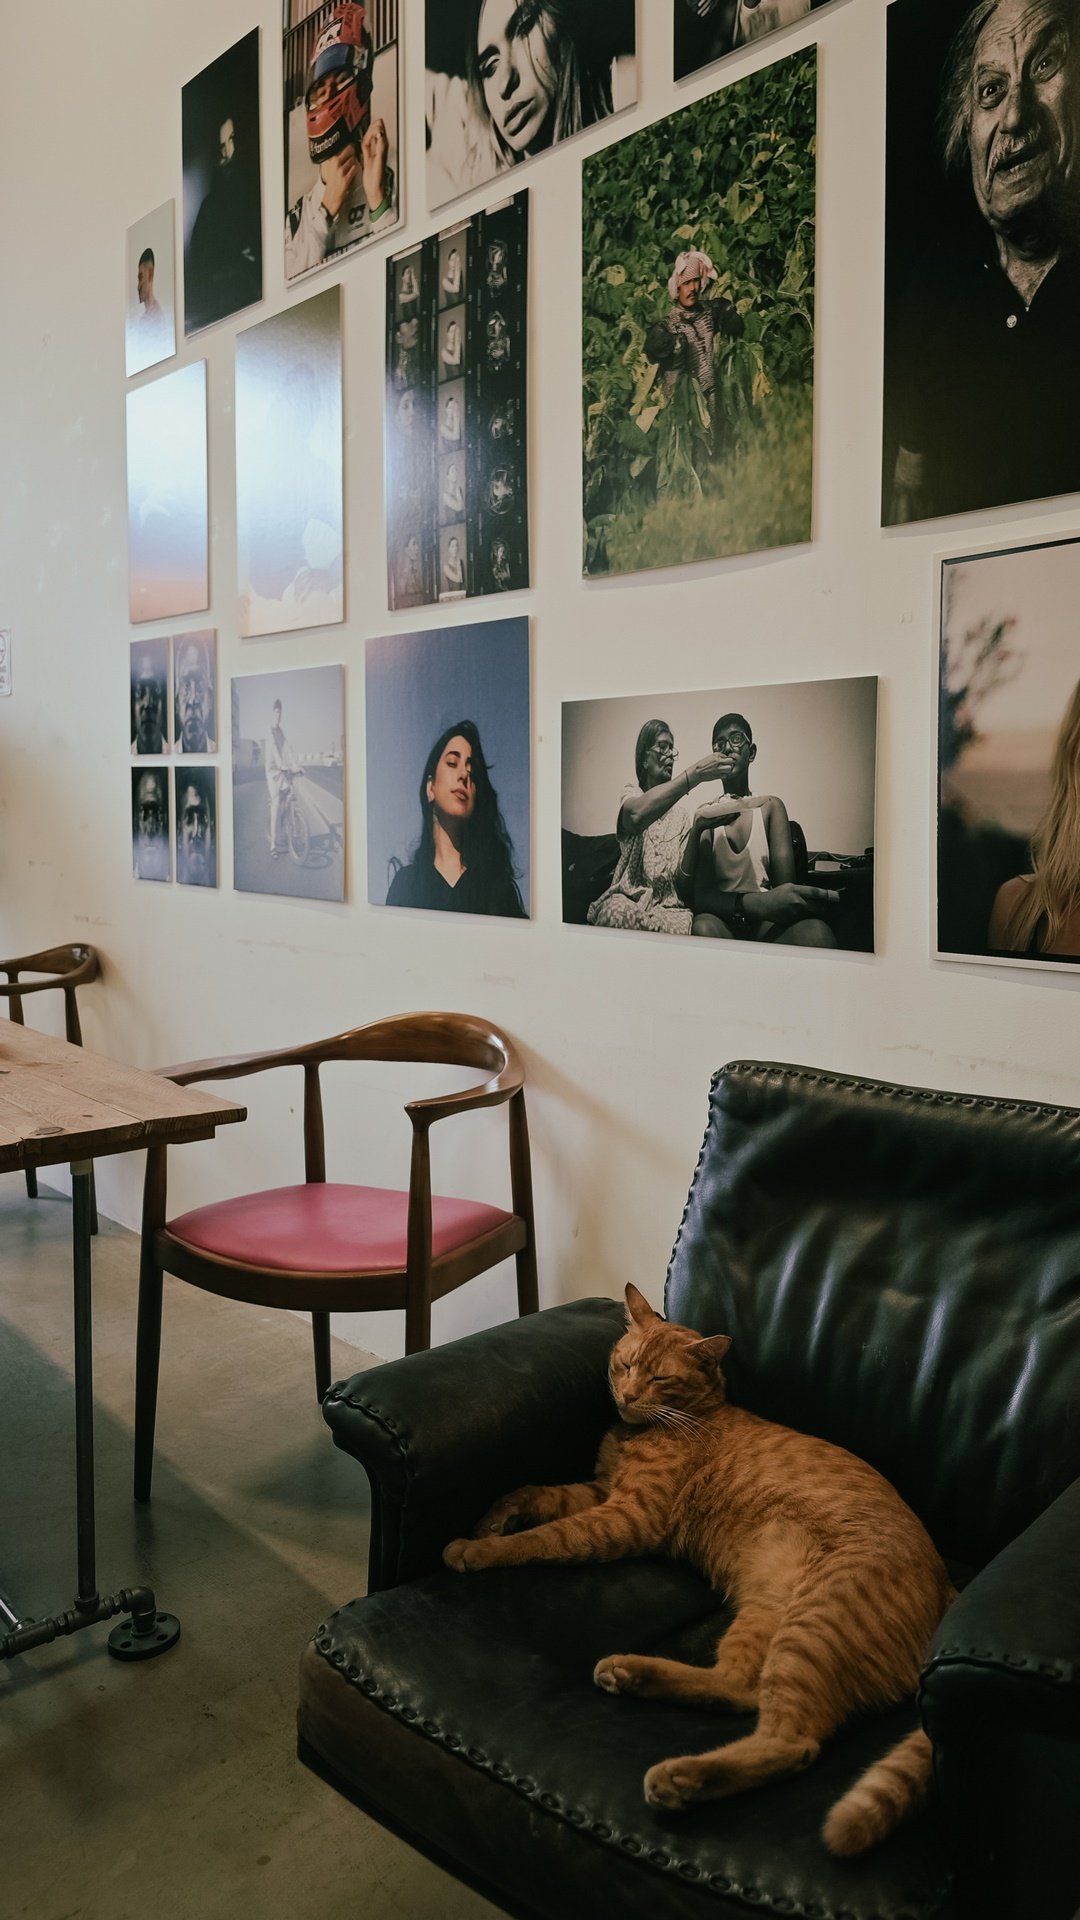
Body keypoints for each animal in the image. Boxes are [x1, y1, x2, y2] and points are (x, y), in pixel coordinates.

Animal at [440, 1282, 949, 1850]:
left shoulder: (625, 1517)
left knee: (793, 1741)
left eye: (660, 1378)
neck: (649, 1429)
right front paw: (492, 1520)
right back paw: (632, 1675)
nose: (628, 1395)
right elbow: (535, 1492)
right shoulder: (599, 1492)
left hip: (814, 1625)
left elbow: (546, 1537)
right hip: (766, 1612)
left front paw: (480, 1550)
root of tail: (949, 1586)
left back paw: (681, 1774)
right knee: (738, 1686)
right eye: (626, 1363)